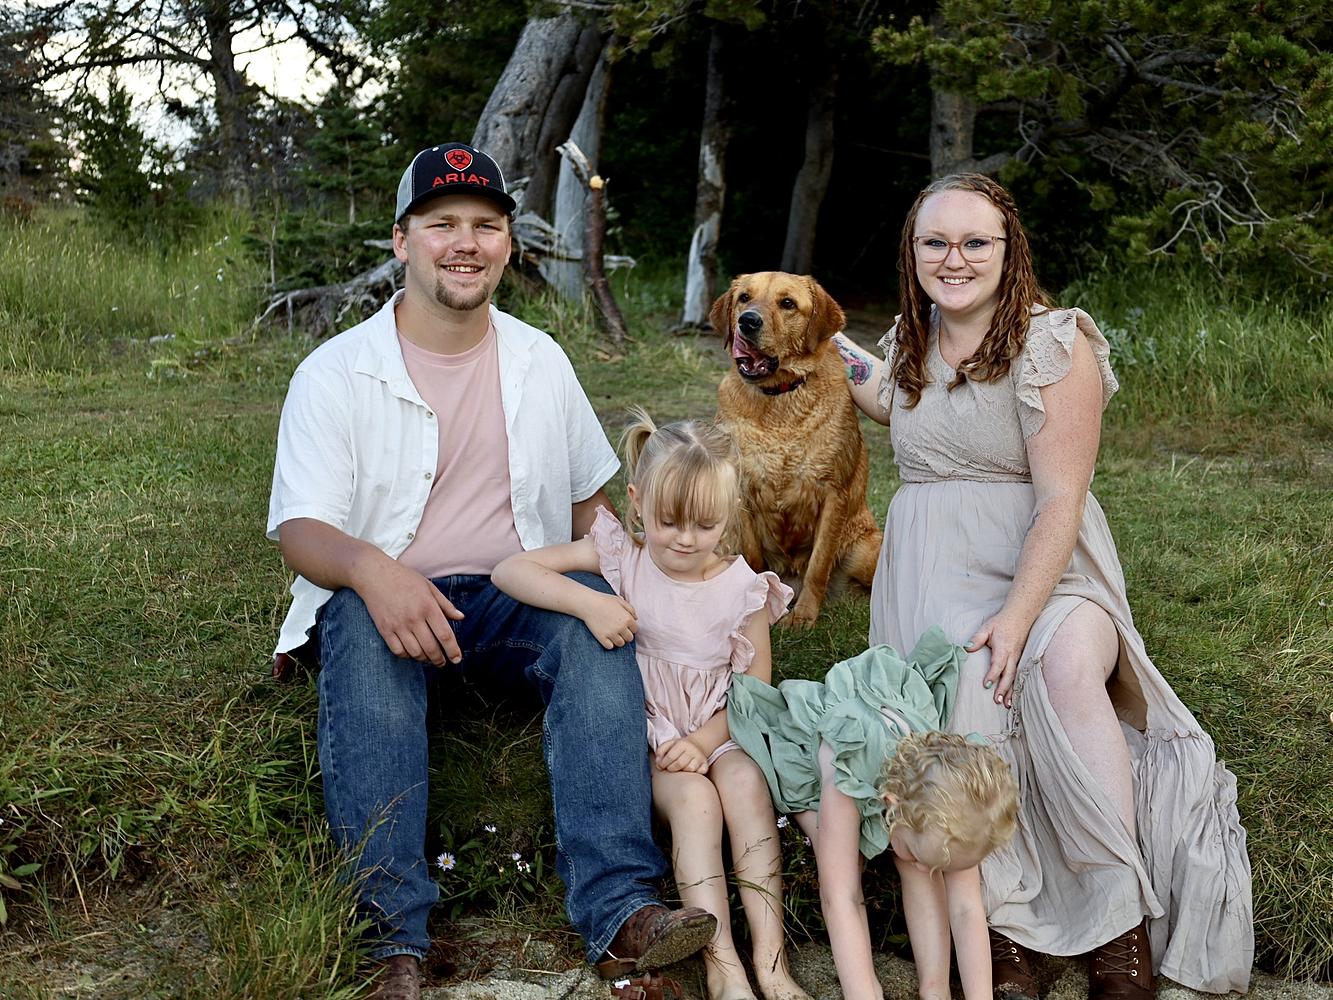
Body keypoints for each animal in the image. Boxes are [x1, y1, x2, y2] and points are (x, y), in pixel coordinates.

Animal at [710, 272, 882, 627]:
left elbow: (818, 564)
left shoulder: (833, 493)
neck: (779, 398)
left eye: (787, 303)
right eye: (744, 298)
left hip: (866, 550)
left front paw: (803, 616)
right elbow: (753, 558)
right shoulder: (742, 490)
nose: (748, 321)